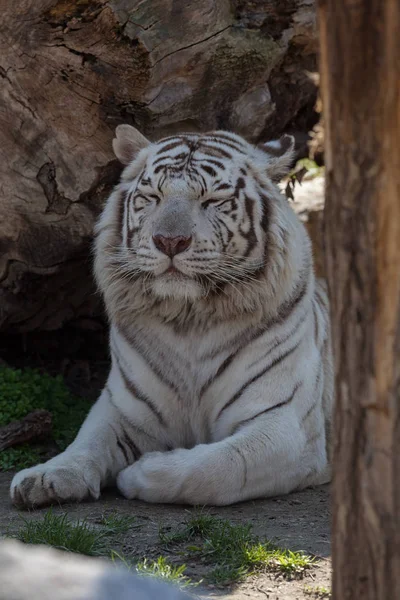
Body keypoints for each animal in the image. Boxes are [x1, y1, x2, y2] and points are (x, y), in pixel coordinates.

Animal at [10, 125, 332, 506]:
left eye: (213, 200)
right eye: (153, 196)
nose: (169, 241)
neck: (188, 317)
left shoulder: (285, 423)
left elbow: (218, 466)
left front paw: (139, 473)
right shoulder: (123, 408)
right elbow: (86, 442)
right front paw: (44, 477)